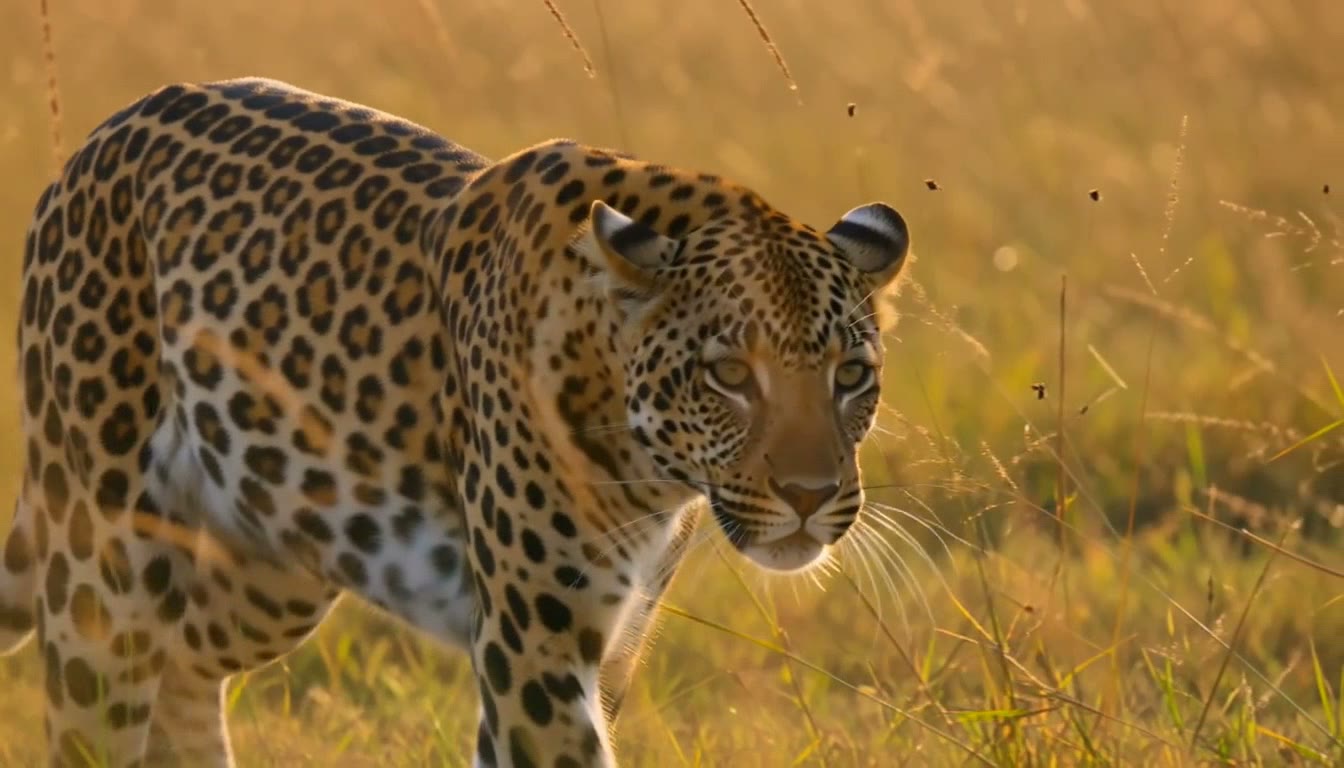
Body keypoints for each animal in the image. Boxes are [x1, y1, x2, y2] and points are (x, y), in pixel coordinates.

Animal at [0, 77, 911, 768]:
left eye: (851, 376)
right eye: (729, 375)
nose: (809, 496)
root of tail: (103, 135)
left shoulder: (603, 651)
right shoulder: (535, 650)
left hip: (269, 569)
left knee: (184, 669)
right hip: (101, 569)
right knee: (97, 713)